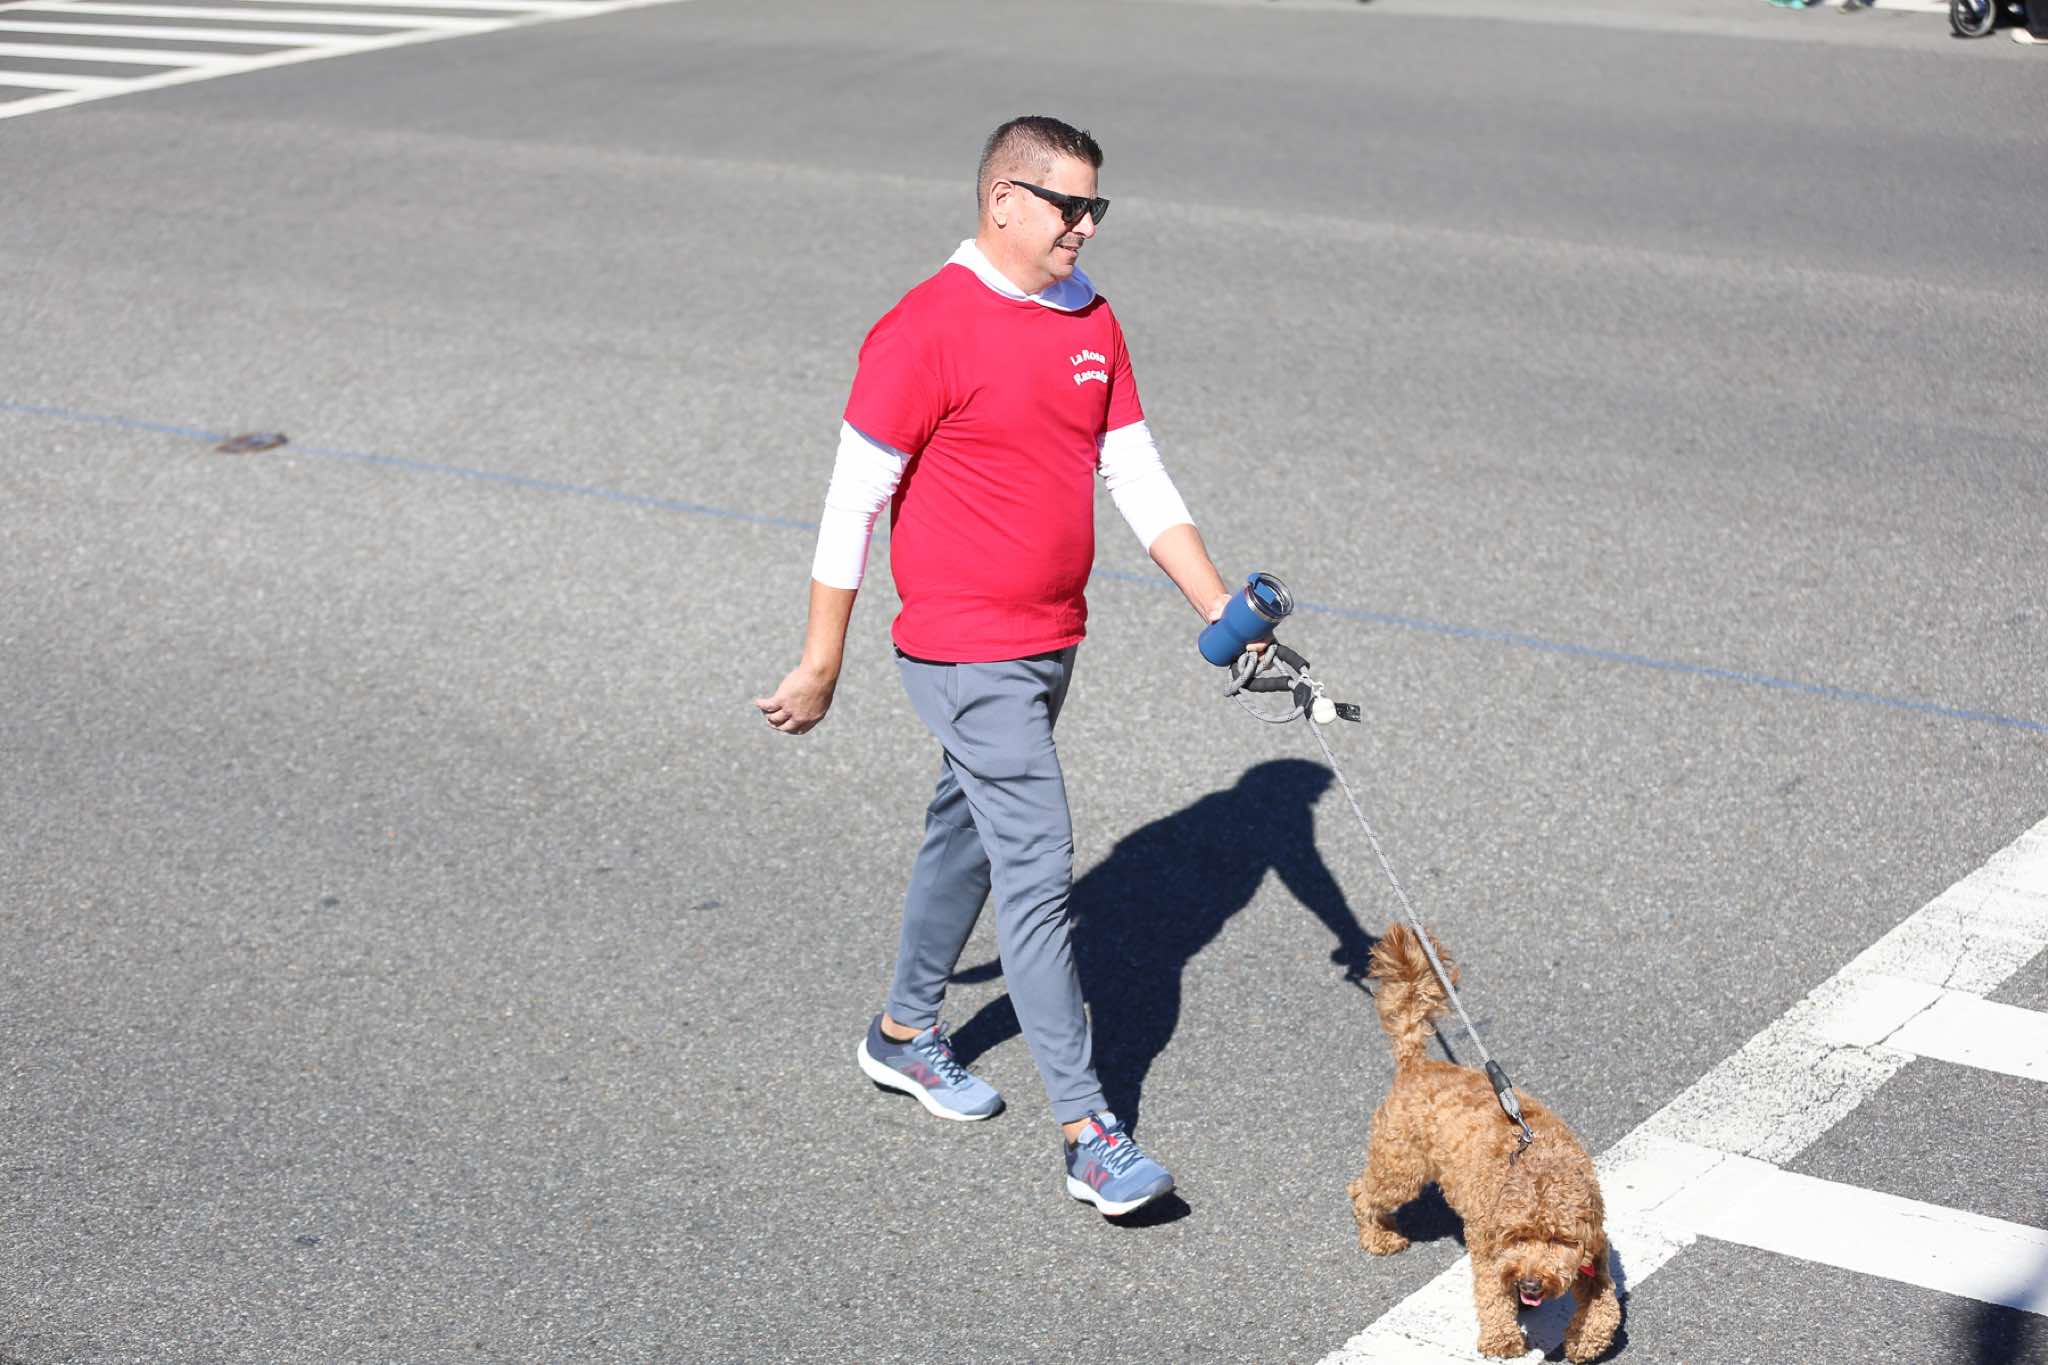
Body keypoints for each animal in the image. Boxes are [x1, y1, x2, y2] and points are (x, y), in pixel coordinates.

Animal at [1346, 923, 1621, 1362]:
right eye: (1518, 1236)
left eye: (1558, 1240)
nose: (1530, 1284)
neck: (1537, 1164)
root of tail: (1416, 1065)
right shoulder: (1488, 1243)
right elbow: (1491, 1292)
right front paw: (1502, 1340)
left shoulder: (1595, 1249)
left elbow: (1604, 1303)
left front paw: (1584, 1338)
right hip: (1401, 1166)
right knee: (1363, 1191)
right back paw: (1378, 1237)